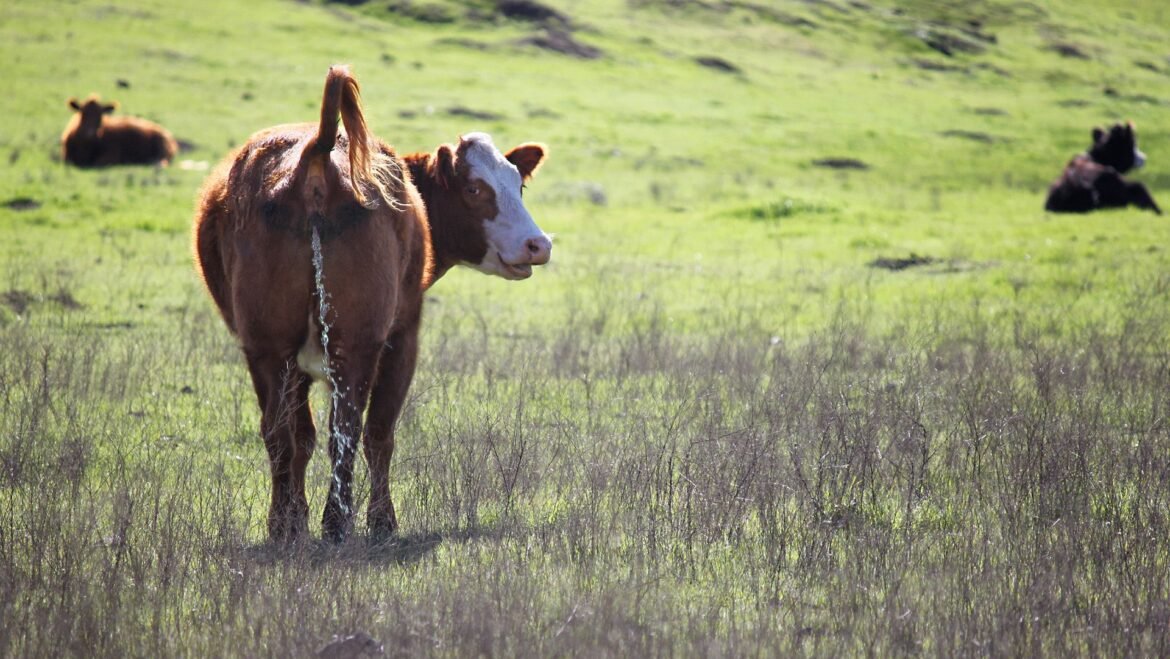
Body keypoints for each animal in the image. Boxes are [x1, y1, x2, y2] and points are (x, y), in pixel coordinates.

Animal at [193, 65, 551, 544]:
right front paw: (382, 521)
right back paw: (337, 522)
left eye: (519, 184)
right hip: (356, 342)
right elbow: (380, 432)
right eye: (476, 189)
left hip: (267, 346)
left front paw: (298, 515)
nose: (538, 244)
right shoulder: (403, 337)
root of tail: (317, 154)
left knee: (281, 433)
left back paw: (284, 525)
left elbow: (301, 438)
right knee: (346, 431)